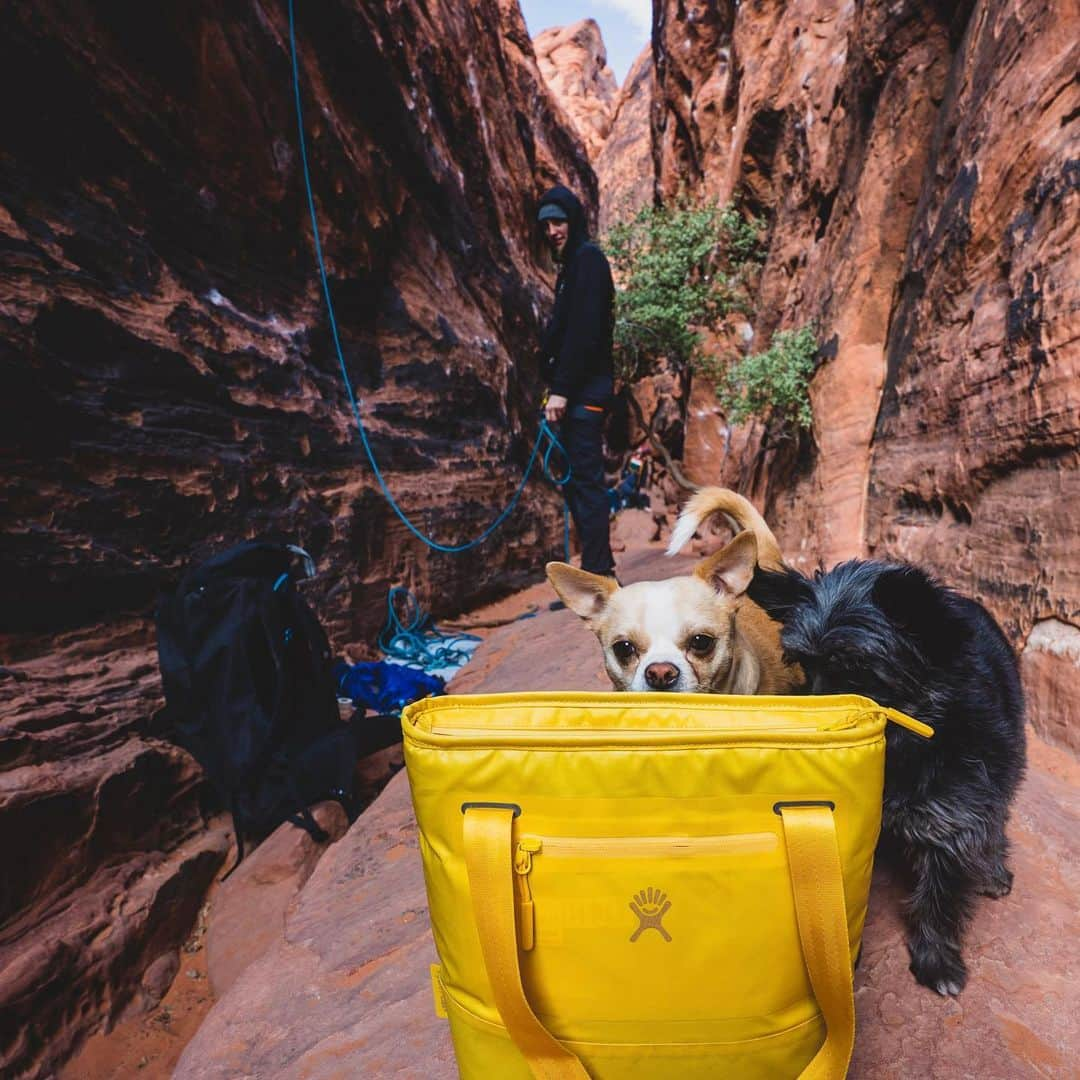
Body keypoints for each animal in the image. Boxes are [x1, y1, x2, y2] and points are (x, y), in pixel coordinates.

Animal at [747, 565, 1023, 993]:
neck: (900, 751)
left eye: (856, 670)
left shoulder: (954, 819)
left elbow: (940, 898)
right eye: (803, 665)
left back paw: (993, 868)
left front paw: (936, 960)